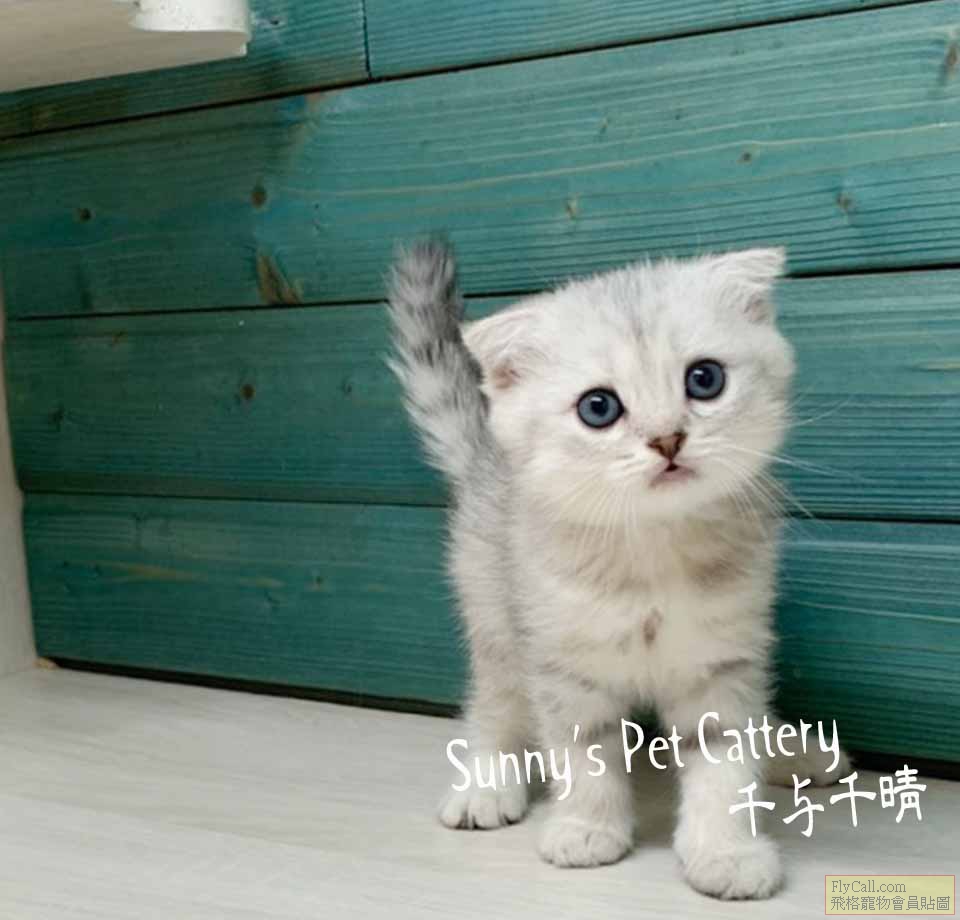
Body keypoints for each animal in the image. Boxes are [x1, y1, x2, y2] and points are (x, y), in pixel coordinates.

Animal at [387, 240, 847, 900]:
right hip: (494, 620)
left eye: (704, 379)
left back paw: (792, 753)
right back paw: (487, 784)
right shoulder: (562, 663)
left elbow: (725, 760)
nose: (667, 439)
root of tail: (487, 456)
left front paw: (724, 851)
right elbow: (584, 755)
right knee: (492, 708)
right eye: (598, 408)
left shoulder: (723, 658)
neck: (651, 551)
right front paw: (587, 829)